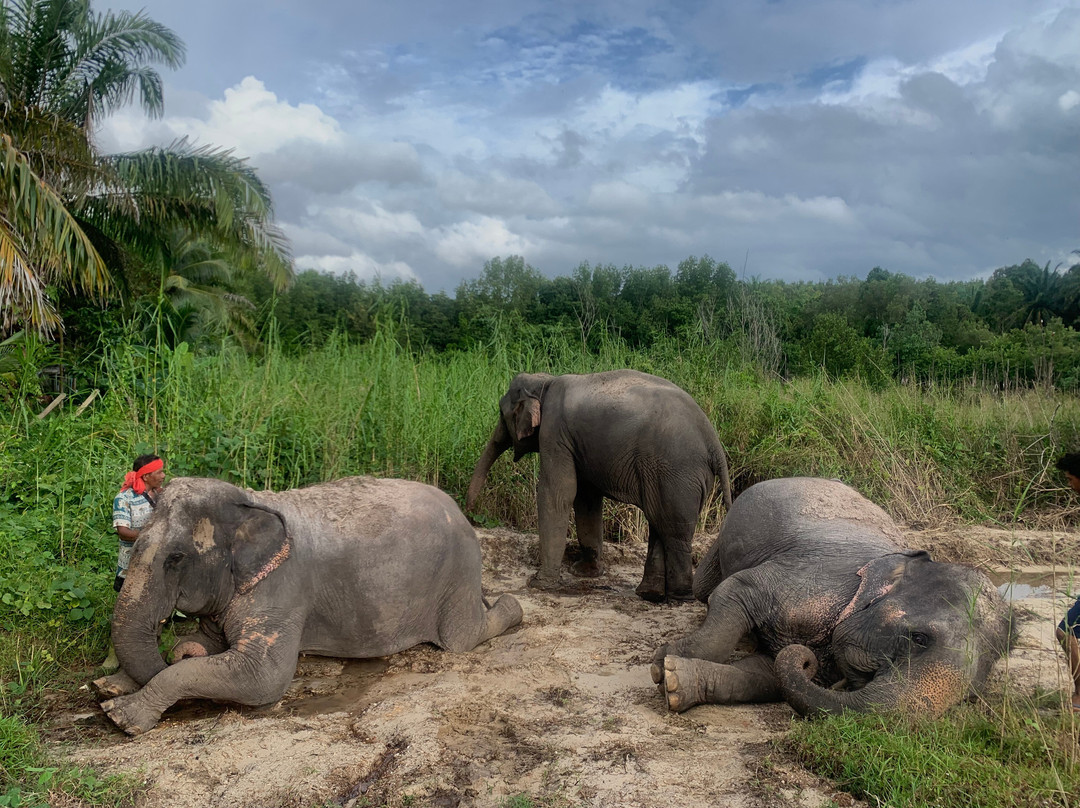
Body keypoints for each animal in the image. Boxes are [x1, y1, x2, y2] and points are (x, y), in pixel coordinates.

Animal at [92, 477, 522, 734]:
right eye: (133, 542)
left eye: (176, 558)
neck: (251, 501)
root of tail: (460, 512)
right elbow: (209, 646)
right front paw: (108, 686)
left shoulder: (282, 589)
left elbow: (264, 677)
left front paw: (120, 715)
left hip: (458, 569)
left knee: (459, 638)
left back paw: (512, 607)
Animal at [466, 371, 734, 600]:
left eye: (501, 413)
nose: (468, 510)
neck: (545, 381)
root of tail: (714, 442)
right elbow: (586, 499)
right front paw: (584, 572)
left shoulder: (555, 434)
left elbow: (557, 494)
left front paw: (539, 584)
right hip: (671, 475)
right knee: (659, 521)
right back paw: (650, 594)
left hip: (676, 472)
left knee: (672, 529)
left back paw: (677, 597)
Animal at [648, 477, 1010, 717]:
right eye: (919, 638)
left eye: (973, 693)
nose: (806, 658)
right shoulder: (811, 579)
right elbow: (736, 590)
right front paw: (661, 661)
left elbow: (766, 674)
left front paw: (675, 681)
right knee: (706, 588)